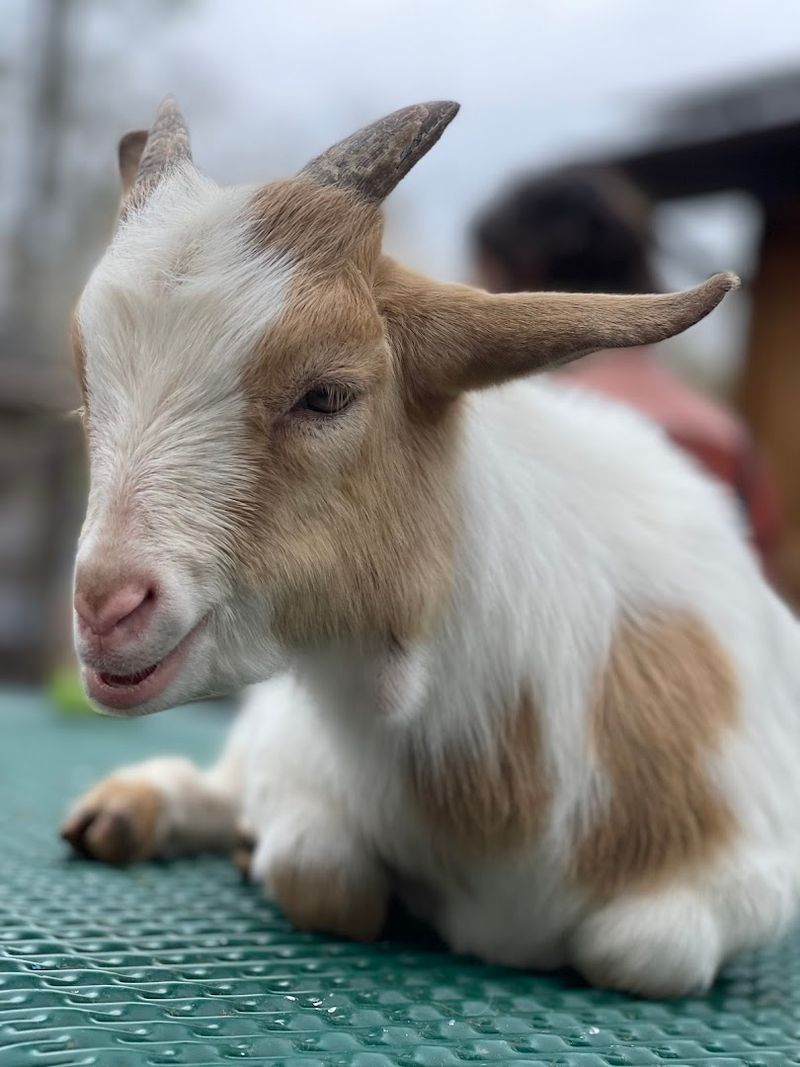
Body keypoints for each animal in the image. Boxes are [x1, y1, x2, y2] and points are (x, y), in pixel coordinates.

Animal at [62, 97, 800, 998]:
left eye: (326, 394)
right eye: (85, 392)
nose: (107, 606)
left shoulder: (757, 862)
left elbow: (643, 949)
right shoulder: (297, 759)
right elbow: (319, 871)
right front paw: (265, 851)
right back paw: (126, 810)